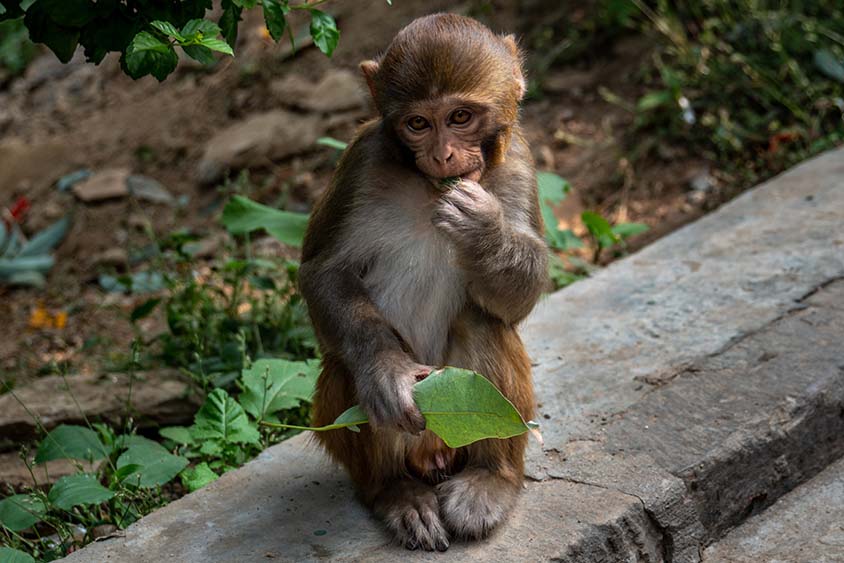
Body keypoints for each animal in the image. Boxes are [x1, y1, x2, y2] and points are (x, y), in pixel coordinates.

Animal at [296, 14, 548, 556]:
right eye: (418, 124)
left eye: (460, 116)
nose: (444, 154)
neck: (427, 187)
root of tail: (435, 452)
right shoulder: (362, 162)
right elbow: (324, 272)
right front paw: (385, 370)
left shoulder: (519, 161)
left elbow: (516, 300)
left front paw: (485, 231)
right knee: (346, 368)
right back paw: (397, 493)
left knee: (483, 322)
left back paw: (491, 478)